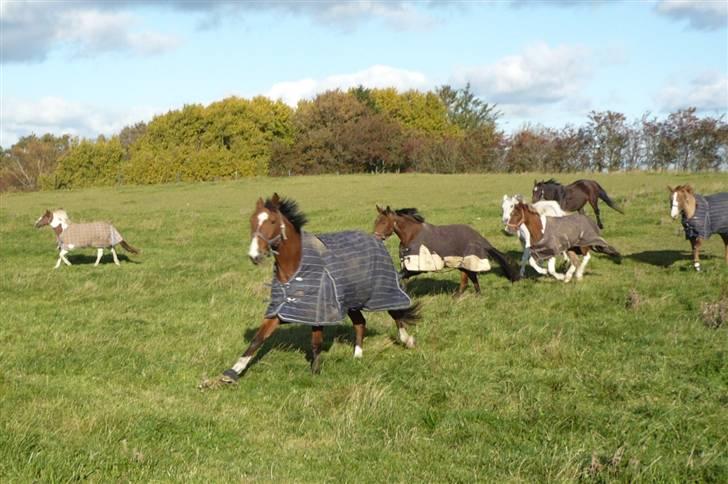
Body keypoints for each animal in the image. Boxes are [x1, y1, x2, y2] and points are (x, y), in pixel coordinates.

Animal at [216, 195, 418, 384]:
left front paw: (315, 371)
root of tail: (376, 240)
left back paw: (407, 341)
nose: (254, 255)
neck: (295, 267)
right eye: (252, 220)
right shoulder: (281, 309)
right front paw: (232, 372)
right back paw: (357, 355)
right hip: (351, 300)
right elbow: (258, 338)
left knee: (396, 313)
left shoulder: (318, 311)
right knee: (360, 323)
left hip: (380, 290)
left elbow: (316, 342)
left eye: (272, 221)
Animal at [372, 204, 520, 294]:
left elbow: (399, 276)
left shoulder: (418, 267)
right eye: (376, 221)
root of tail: (483, 241)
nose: (375, 237)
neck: (411, 235)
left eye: (384, 222)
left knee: (469, 279)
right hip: (462, 263)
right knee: (468, 280)